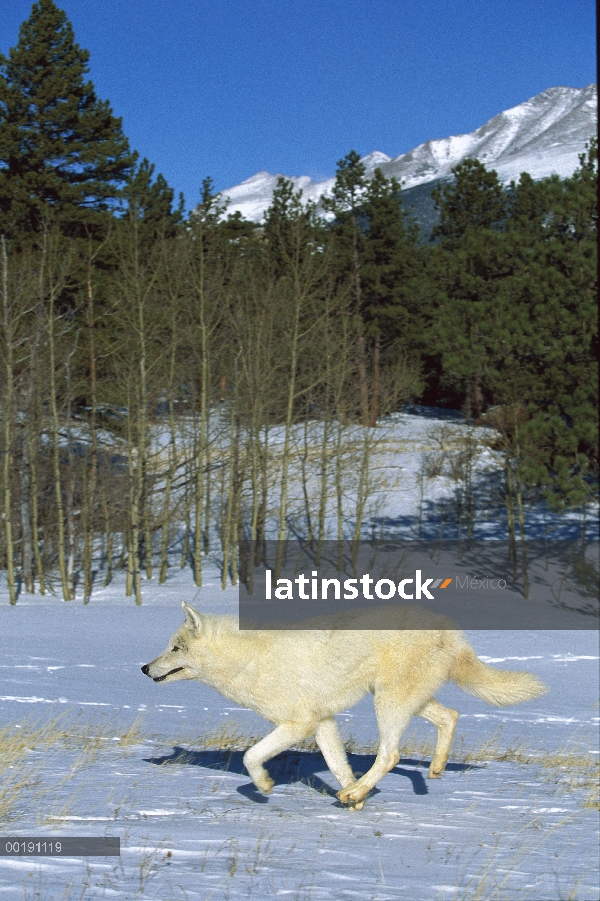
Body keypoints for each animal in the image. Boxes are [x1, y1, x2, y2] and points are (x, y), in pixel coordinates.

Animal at [143, 600, 548, 804]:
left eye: (176, 648)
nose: (144, 668)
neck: (249, 660)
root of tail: (451, 631)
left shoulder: (299, 724)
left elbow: (250, 757)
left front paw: (264, 786)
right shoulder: (323, 724)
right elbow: (338, 767)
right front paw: (357, 803)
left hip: (388, 704)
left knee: (391, 755)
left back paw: (361, 790)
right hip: (406, 701)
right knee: (450, 715)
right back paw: (429, 772)